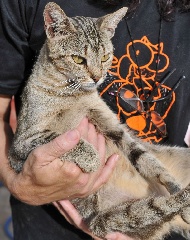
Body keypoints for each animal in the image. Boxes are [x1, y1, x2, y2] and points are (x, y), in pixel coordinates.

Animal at [8, 2, 190, 240]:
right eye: (78, 59)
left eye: (105, 57)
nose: (96, 77)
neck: (71, 94)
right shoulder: (21, 143)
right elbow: (59, 138)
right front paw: (93, 158)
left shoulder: (112, 125)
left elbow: (149, 162)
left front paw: (174, 186)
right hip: (112, 219)